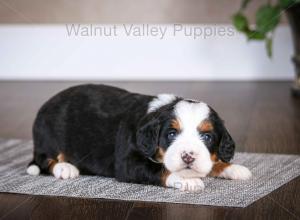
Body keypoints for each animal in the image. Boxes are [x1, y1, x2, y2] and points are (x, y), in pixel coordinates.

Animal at [27, 84, 251, 191]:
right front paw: (187, 180)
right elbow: (159, 170)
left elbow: (212, 162)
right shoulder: (128, 163)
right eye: (171, 134)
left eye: (206, 137)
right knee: (45, 160)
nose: (188, 156)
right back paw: (65, 168)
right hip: (49, 137)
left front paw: (232, 168)